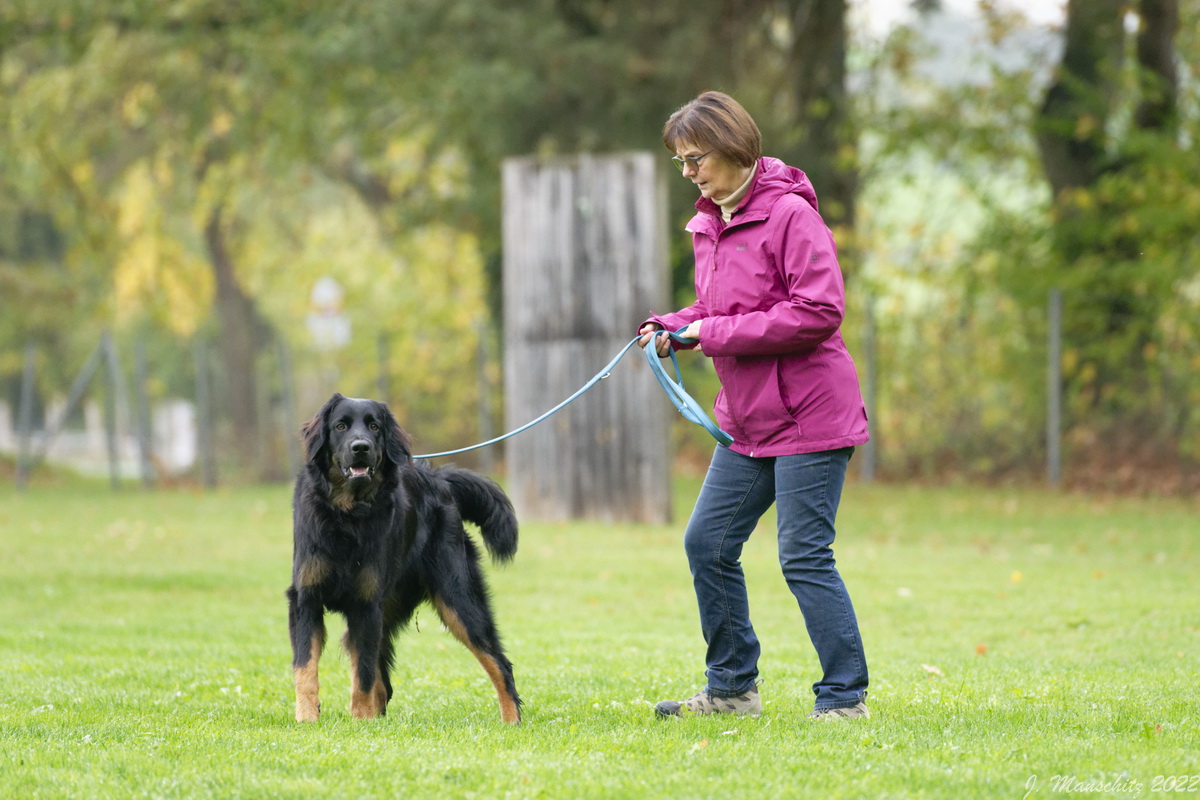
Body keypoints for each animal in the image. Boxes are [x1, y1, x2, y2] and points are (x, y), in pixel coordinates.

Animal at [288, 393, 523, 724]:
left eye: (374, 426)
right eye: (340, 426)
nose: (361, 447)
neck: (347, 515)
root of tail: (439, 480)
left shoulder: (366, 606)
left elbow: (362, 674)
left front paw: (360, 722)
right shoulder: (305, 599)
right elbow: (306, 667)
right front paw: (308, 718)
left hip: (459, 601)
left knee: (500, 664)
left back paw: (511, 720)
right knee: (383, 684)